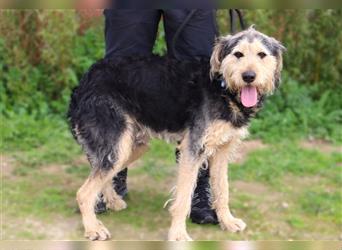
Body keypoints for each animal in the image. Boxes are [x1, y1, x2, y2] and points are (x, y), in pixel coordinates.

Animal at [67, 26, 286, 240]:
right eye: (238, 54)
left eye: (261, 55)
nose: (248, 77)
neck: (222, 87)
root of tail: (84, 82)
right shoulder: (192, 149)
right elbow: (182, 198)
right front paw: (178, 234)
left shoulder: (222, 151)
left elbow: (222, 190)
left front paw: (227, 221)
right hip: (117, 146)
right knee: (83, 192)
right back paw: (93, 228)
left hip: (131, 146)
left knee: (100, 173)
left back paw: (112, 201)